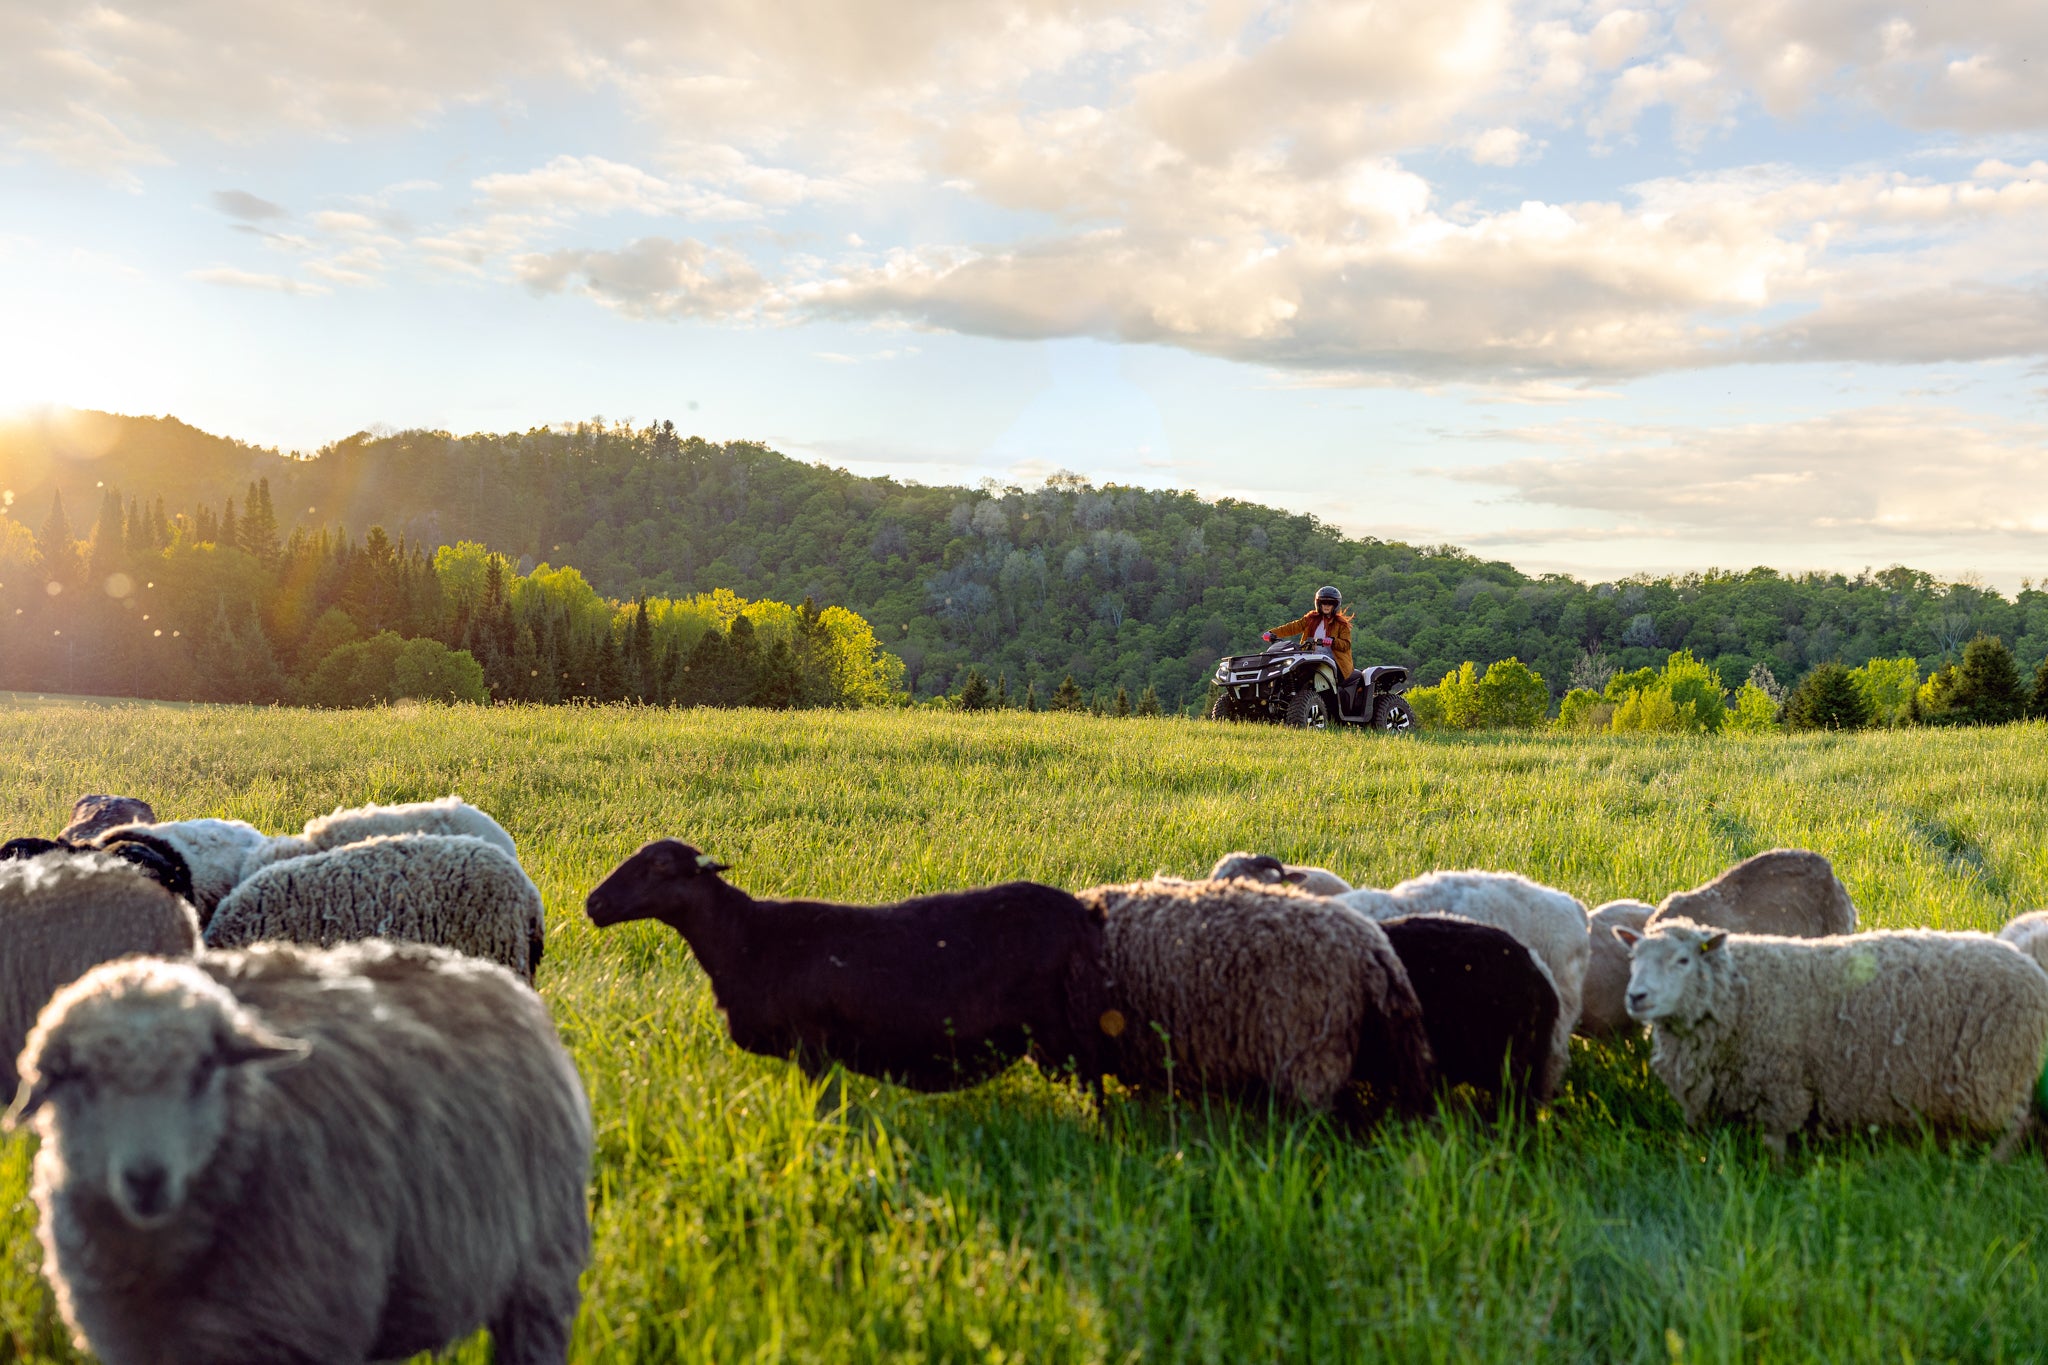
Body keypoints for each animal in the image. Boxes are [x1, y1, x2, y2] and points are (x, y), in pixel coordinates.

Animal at [586, 839, 1114, 1092]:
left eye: (660, 865)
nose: (594, 903)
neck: (744, 938)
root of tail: (1079, 911)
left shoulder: (811, 1045)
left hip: (1066, 1032)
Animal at [1617, 918, 2048, 1157]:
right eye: (1633, 958)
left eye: (1683, 960)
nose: (1636, 996)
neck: (1739, 993)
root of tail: (2032, 970)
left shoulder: (1782, 1088)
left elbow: (1774, 1146)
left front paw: (1775, 1180)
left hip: (1996, 1074)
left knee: (2016, 1128)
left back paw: (1987, 1169)